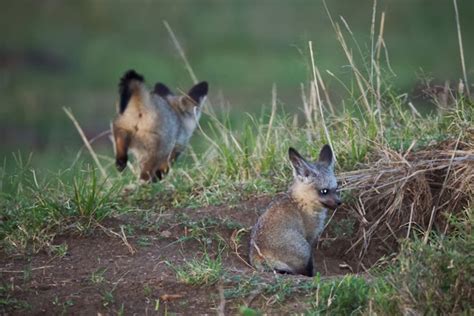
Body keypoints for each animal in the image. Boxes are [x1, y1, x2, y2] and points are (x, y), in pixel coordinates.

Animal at [248, 145, 340, 276]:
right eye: (324, 191)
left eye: (336, 189)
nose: (339, 202)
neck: (299, 201)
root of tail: (259, 256)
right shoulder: (309, 238)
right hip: (305, 249)